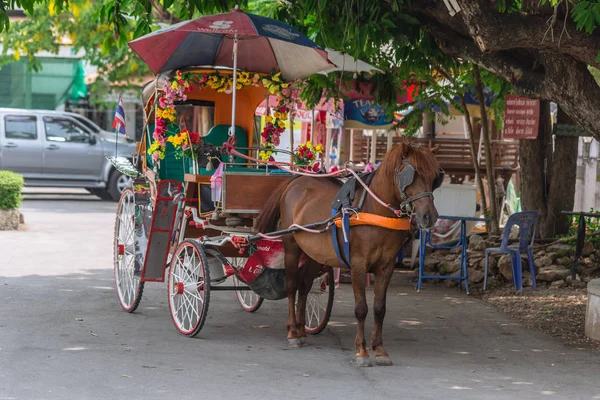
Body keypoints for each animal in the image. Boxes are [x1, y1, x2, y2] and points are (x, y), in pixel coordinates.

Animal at [255, 139, 442, 368]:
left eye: (435, 177)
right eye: (412, 174)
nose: (429, 216)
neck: (375, 210)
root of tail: (295, 181)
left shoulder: (386, 266)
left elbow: (379, 308)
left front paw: (379, 349)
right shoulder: (358, 265)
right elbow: (361, 308)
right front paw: (361, 351)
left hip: (314, 255)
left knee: (304, 287)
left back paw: (301, 330)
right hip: (292, 247)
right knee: (292, 287)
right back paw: (292, 333)